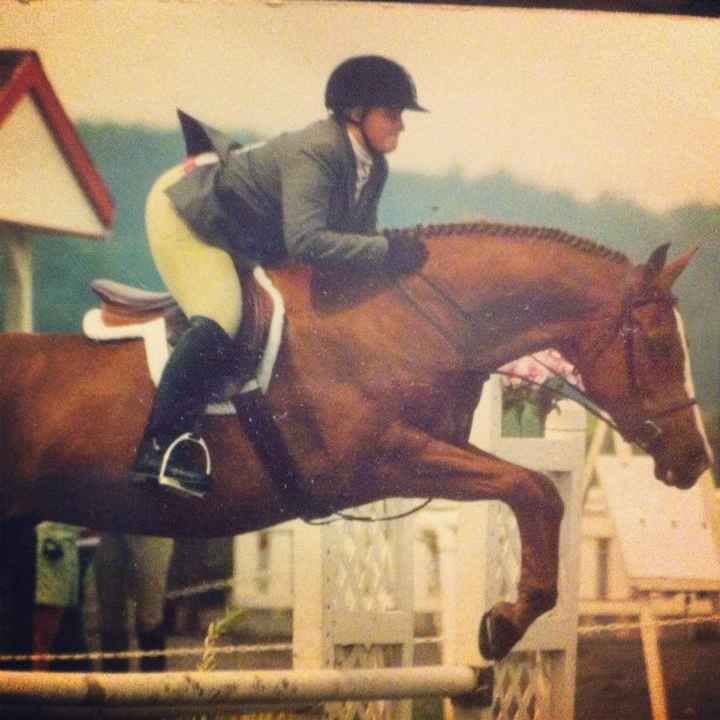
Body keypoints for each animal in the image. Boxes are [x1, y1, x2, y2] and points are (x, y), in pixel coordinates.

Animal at [0, 221, 712, 661]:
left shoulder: (417, 455)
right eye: (657, 344)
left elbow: (536, 491)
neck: (408, 324)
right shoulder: (382, 460)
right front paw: (504, 624)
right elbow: (533, 487)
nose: (694, 460)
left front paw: (507, 620)